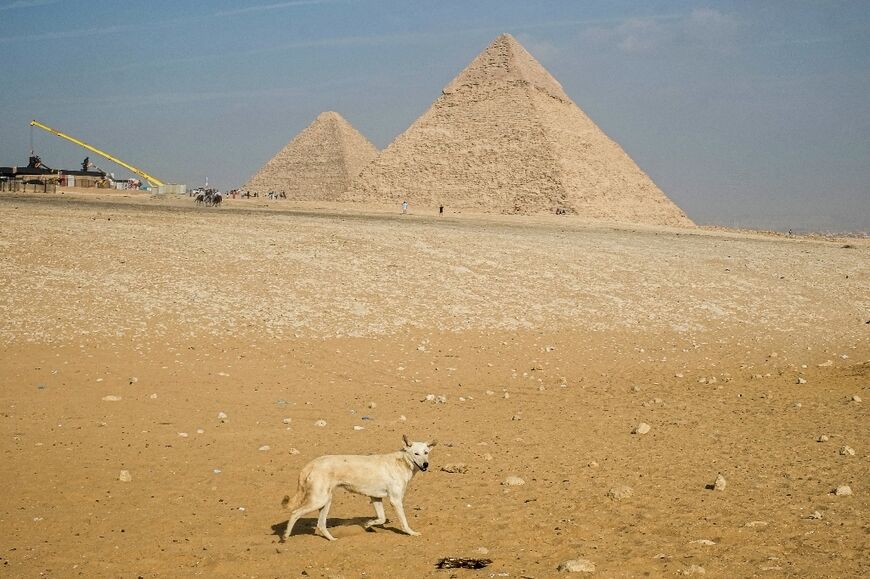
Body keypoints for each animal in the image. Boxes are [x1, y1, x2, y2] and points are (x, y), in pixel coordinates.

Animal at [284, 438, 440, 540]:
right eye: (416, 453)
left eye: (426, 452)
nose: (426, 464)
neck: (401, 462)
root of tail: (311, 464)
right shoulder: (395, 500)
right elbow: (404, 522)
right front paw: (411, 533)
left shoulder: (376, 497)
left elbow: (381, 518)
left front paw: (368, 524)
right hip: (319, 500)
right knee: (295, 513)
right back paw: (285, 536)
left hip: (326, 500)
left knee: (321, 524)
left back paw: (332, 539)